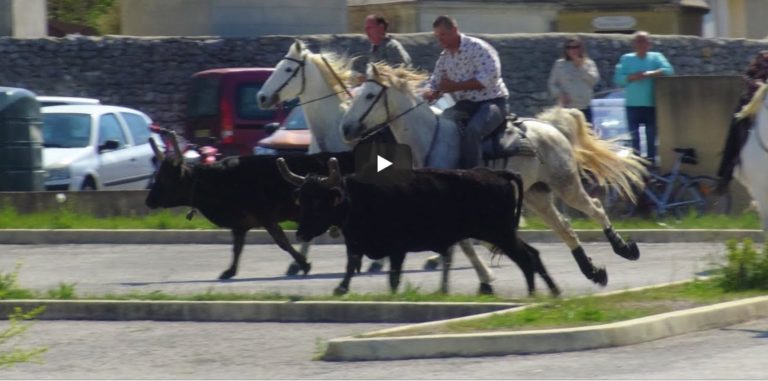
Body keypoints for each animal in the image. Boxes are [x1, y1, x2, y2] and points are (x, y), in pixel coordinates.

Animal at [276, 156, 560, 296]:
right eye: (302, 199)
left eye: (318, 201)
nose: (301, 232)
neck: (357, 197)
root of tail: (495, 173)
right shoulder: (356, 243)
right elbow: (350, 264)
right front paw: (341, 288)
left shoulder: (397, 248)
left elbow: (393, 277)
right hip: (504, 234)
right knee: (533, 255)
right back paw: (551, 291)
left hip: (501, 234)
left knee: (526, 258)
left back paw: (535, 292)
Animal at [342, 63, 648, 284]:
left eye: (370, 95)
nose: (346, 128)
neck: (431, 139)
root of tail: (552, 127)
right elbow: (461, 243)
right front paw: (483, 275)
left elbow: (464, 244)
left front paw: (486, 276)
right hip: (537, 195)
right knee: (565, 227)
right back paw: (593, 272)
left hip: (566, 185)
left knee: (595, 207)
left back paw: (624, 250)